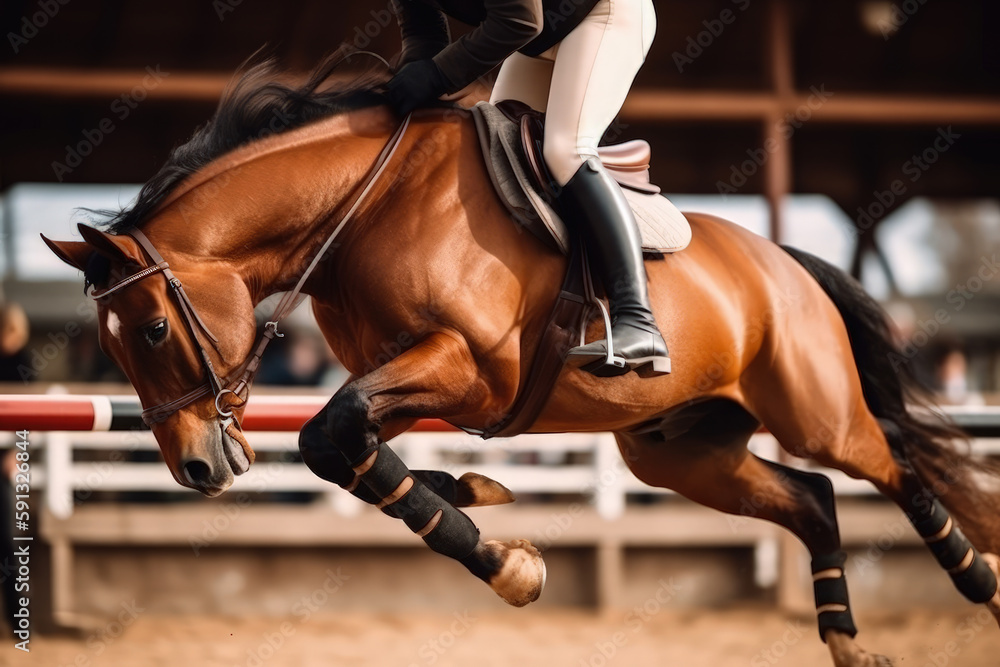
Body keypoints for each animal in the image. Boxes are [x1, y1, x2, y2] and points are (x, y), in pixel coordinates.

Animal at [42, 53, 1000, 667]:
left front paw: (504, 554)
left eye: (152, 331)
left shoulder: (467, 368)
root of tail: (785, 261)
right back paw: (845, 639)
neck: (360, 209)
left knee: (896, 468)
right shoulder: (414, 379)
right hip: (680, 450)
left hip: (815, 411)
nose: (198, 468)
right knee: (813, 498)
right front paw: (476, 504)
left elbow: (334, 435)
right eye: (112, 345)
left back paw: (978, 579)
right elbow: (348, 447)